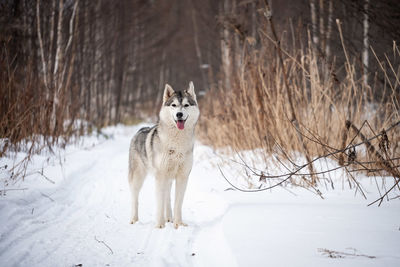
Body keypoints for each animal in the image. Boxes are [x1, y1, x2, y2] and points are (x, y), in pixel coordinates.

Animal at [128, 82, 200, 230]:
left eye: (186, 105)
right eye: (173, 105)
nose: (179, 114)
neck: (177, 144)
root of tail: (140, 130)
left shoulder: (182, 177)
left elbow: (178, 203)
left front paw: (179, 224)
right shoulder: (160, 176)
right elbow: (159, 203)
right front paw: (160, 225)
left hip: (168, 179)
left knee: (167, 197)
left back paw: (169, 218)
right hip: (138, 177)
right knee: (134, 197)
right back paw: (134, 219)